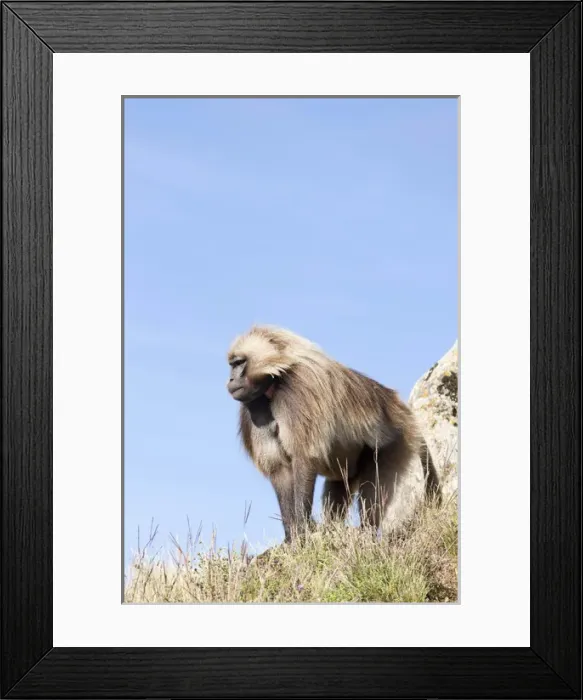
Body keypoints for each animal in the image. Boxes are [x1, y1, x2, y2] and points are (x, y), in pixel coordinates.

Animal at [226, 325, 441, 544]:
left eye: (239, 363)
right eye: (232, 365)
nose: (231, 379)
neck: (276, 382)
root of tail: (402, 411)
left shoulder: (299, 391)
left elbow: (304, 458)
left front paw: (302, 532)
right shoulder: (255, 407)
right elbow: (280, 469)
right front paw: (291, 537)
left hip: (393, 445)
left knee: (373, 492)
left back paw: (367, 535)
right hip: (349, 469)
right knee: (337, 491)